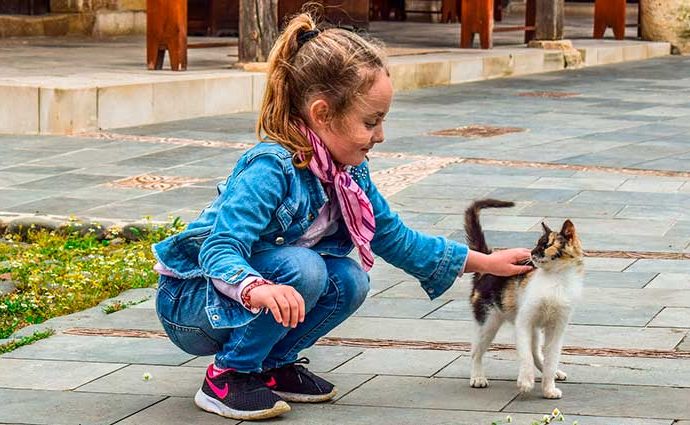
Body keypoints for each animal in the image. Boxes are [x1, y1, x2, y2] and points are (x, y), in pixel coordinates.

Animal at [464, 199, 584, 398]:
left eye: (545, 245)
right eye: (536, 243)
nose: (531, 253)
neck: (556, 279)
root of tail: (488, 258)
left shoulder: (557, 327)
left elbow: (551, 357)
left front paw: (548, 388)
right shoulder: (524, 321)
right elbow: (525, 354)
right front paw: (526, 381)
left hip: (534, 329)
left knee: (537, 352)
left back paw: (553, 373)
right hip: (488, 321)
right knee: (476, 351)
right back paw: (477, 377)